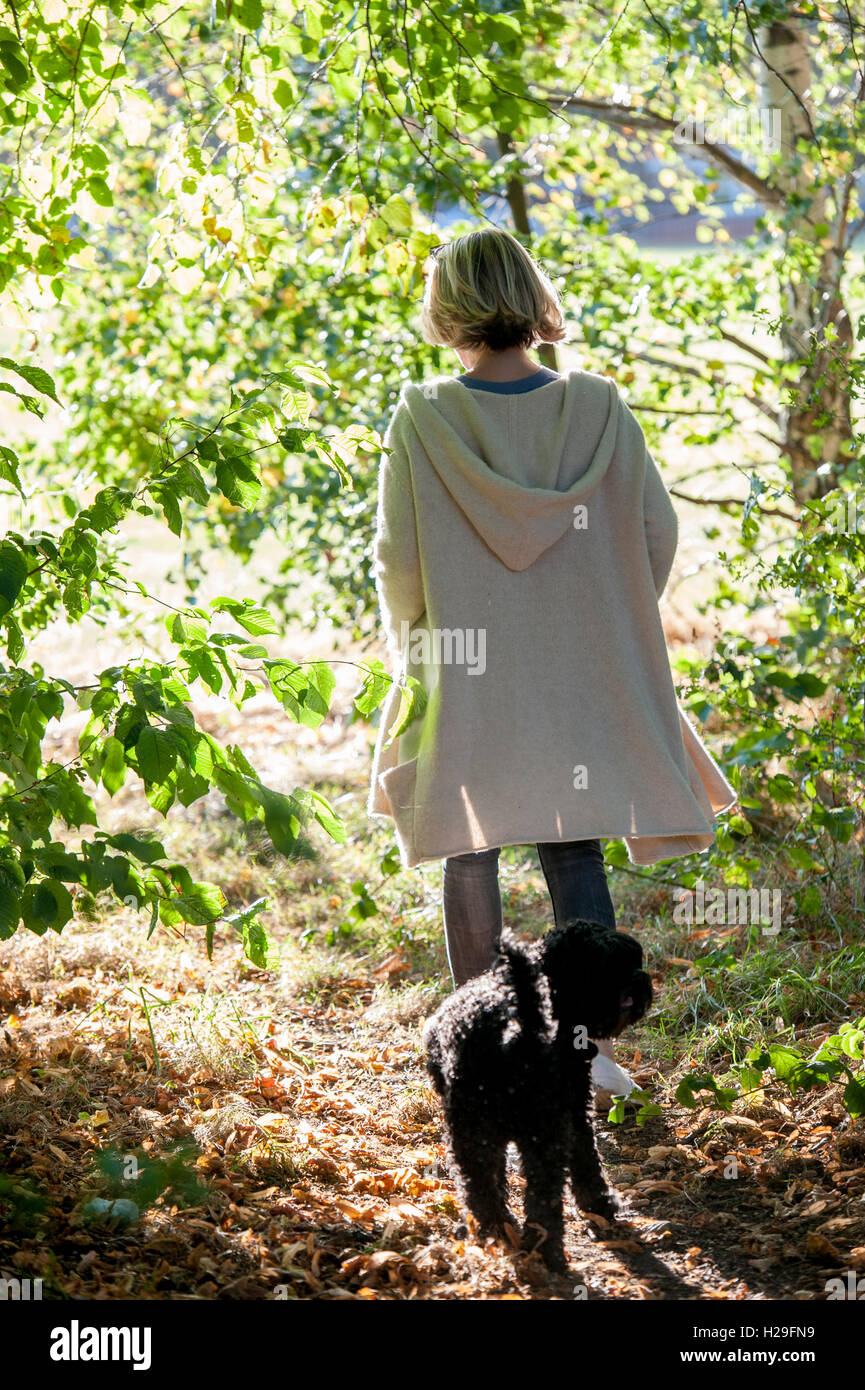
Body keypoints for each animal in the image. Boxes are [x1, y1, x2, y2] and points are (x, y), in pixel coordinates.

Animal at [422, 917, 653, 1273]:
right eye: (613, 965)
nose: (642, 980)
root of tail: (516, 1030)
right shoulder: (575, 1113)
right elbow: (588, 1163)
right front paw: (600, 1206)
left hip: (475, 1133)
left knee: (482, 1188)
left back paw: (498, 1231)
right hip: (530, 1132)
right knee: (539, 1193)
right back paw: (542, 1246)